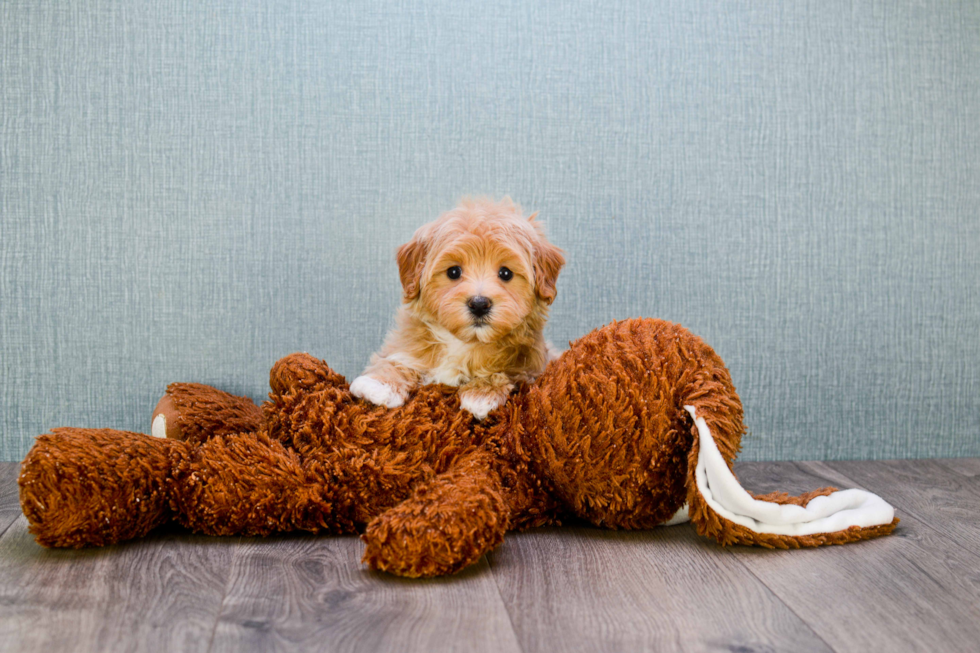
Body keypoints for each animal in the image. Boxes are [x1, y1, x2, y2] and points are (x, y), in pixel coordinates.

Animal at [352, 197, 568, 418]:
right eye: (453, 272)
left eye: (506, 273)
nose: (479, 304)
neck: (464, 343)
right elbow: (398, 359)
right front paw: (378, 385)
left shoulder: (529, 367)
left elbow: (504, 372)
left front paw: (481, 395)